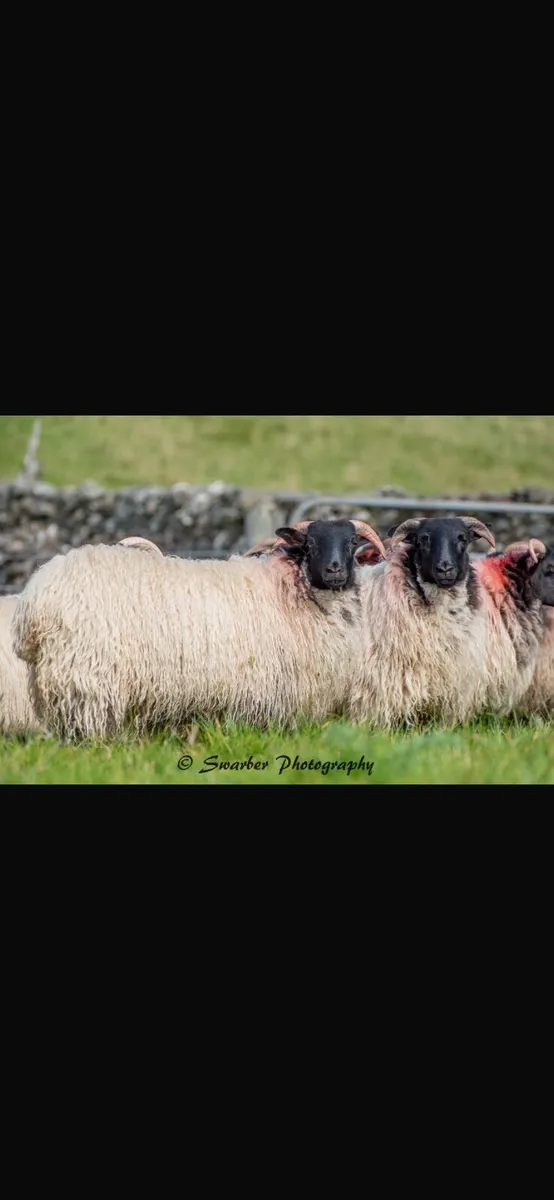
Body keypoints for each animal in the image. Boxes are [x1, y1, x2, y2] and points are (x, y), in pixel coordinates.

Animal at [13, 520, 386, 740]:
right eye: (309, 544)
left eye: (352, 543)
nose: (335, 570)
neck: (289, 588)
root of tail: (35, 598)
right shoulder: (274, 691)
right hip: (88, 677)